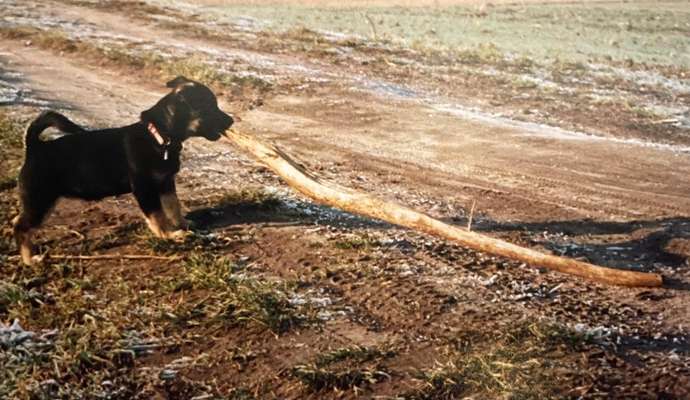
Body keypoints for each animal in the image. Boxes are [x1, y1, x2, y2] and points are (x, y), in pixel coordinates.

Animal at [13, 75, 232, 266]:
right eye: (211, 108)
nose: (231, 121)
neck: (159, 138)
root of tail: (35, 147)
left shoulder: (166, 183)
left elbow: (173, 207)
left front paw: (183, 225)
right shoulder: (145, 188)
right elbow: (157, 215)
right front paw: (168, 235)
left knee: (19, 221)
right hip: (41, 200)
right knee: (20, 226)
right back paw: (29, 259)